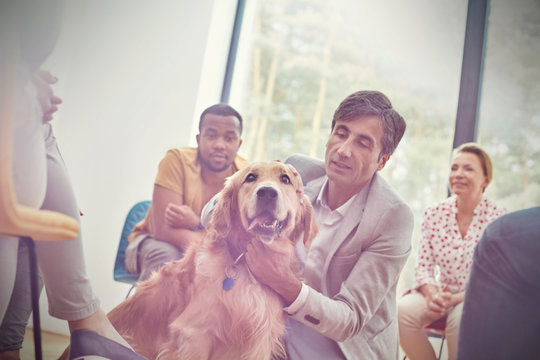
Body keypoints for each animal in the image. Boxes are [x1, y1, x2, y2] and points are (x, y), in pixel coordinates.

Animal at [107, 162, 316, 358]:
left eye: (285, 179)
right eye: (250, 177)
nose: (267, 192)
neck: (246, 266)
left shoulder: (260, 343)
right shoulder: (194, 334)